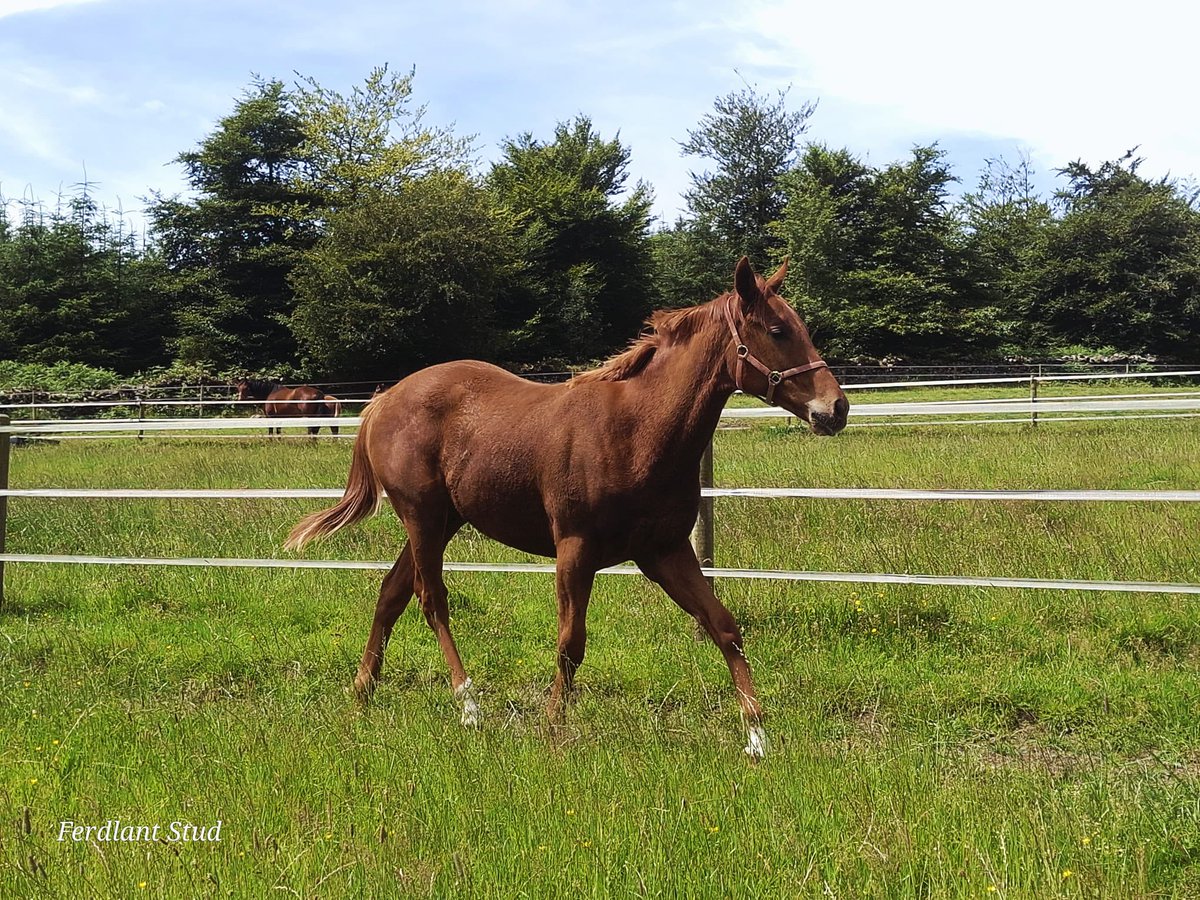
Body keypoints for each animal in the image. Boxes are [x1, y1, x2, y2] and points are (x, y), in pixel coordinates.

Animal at [285, 257, 848, 758]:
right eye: (777, 330)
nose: (836, 408)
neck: (636, 430)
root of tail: (384, 399)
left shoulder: (665, 553)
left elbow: (723, 626)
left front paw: (757, 735)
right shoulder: (575, 551)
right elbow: (570, 643)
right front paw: (553, 726)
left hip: (444, 521)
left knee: (391, 594)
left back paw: (362, 693)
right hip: (422, 517)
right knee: (431, 599)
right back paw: (468, 705)